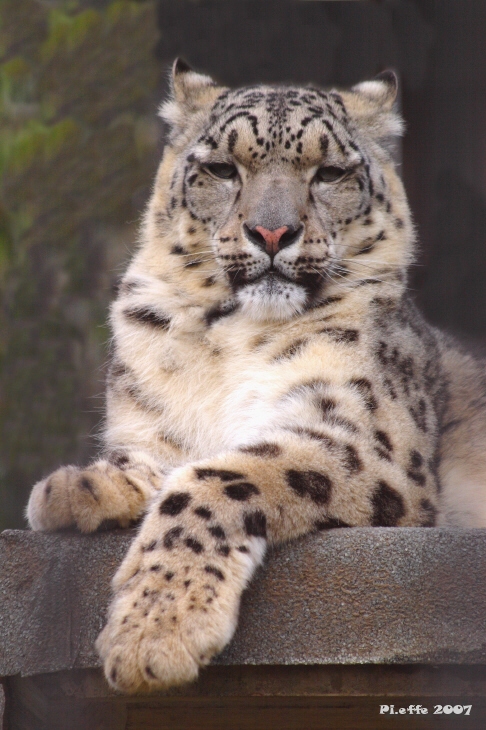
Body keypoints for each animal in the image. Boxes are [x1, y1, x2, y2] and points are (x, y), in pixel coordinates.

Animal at [27, 59, 486, 693]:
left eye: (330, 172)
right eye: (222, 168)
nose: (272, 233)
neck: (230, 337)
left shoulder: (362, 440)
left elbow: (216, 479)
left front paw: (155, 632)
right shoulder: (156, 431)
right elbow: (148, 462)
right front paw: (78, 487)